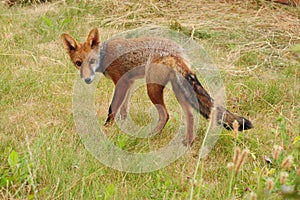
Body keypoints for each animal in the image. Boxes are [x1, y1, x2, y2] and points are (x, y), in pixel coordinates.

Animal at [61, 28, 253, 146]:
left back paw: (152, 136)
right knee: (190, 114)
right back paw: (188, 142)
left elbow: (112, 109)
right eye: (78, 63)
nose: (87, 80)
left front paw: (106, 130)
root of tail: (177, 52)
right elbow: (124, 109)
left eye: (92, 61)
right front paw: (123, 126)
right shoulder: (130, 83)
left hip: (152, 88)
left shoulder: (122, 82)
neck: (106, 54)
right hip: (178, 90)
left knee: (165, 115)